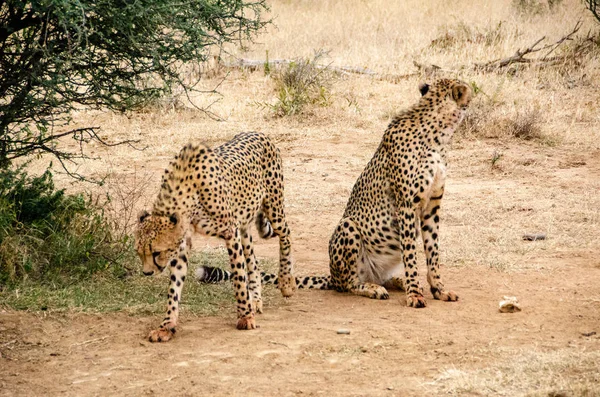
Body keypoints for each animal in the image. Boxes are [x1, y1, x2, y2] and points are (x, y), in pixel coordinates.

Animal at [135, 132, 296, 340]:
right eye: (139, 253)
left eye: (156, 253)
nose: (147, 272)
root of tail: (259, 133)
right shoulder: (182, 245)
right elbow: (174, 288)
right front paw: (166, 326)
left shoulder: (230, 232)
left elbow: (238, 277)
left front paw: (245, 317)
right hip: (245, 225)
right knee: (253, 261)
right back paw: (256, 299)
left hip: (273, 206)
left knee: (286, 235)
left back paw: (286, 283)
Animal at [200, 79, 474, 310]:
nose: (472, 96)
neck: (437, 133)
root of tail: (332, 275)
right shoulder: (406, 204)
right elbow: (410, 253)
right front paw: (416, 294)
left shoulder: (432, 206)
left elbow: (433, 251)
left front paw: (438, 289)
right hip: (348, 227)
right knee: (348, 284)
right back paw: (374, 288)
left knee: (380, 278)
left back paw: (397, 281)